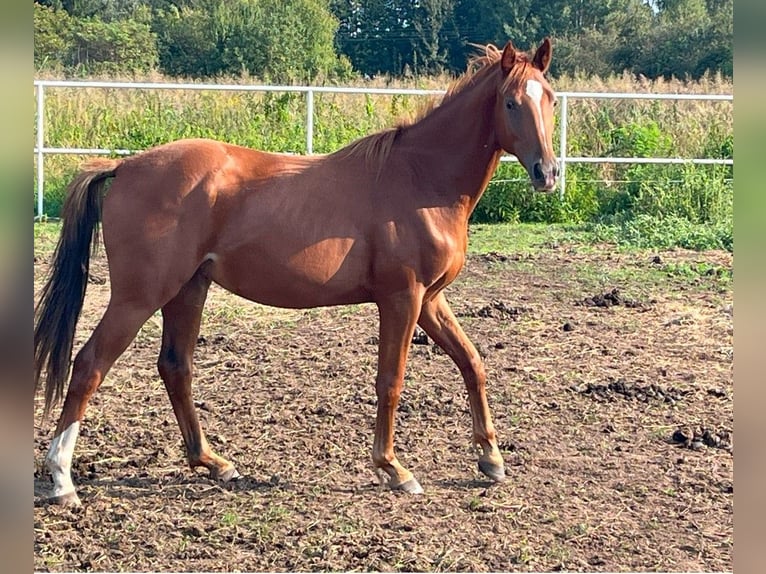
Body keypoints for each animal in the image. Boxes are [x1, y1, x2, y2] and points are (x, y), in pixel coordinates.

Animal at [34, 38, 560, 506]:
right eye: (511, 102)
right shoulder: (403, 298)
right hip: (139, 296)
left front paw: (490, 458)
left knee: (175, 366)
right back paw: (62, 480)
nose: (547, 173)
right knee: (89, 365)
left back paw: (213, 463)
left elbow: (472, 363)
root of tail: (125, 166)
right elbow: (390, 380)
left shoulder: (430, 300)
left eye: (551, 99)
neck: (421, 179)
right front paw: (393, 469)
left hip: (188, 289)